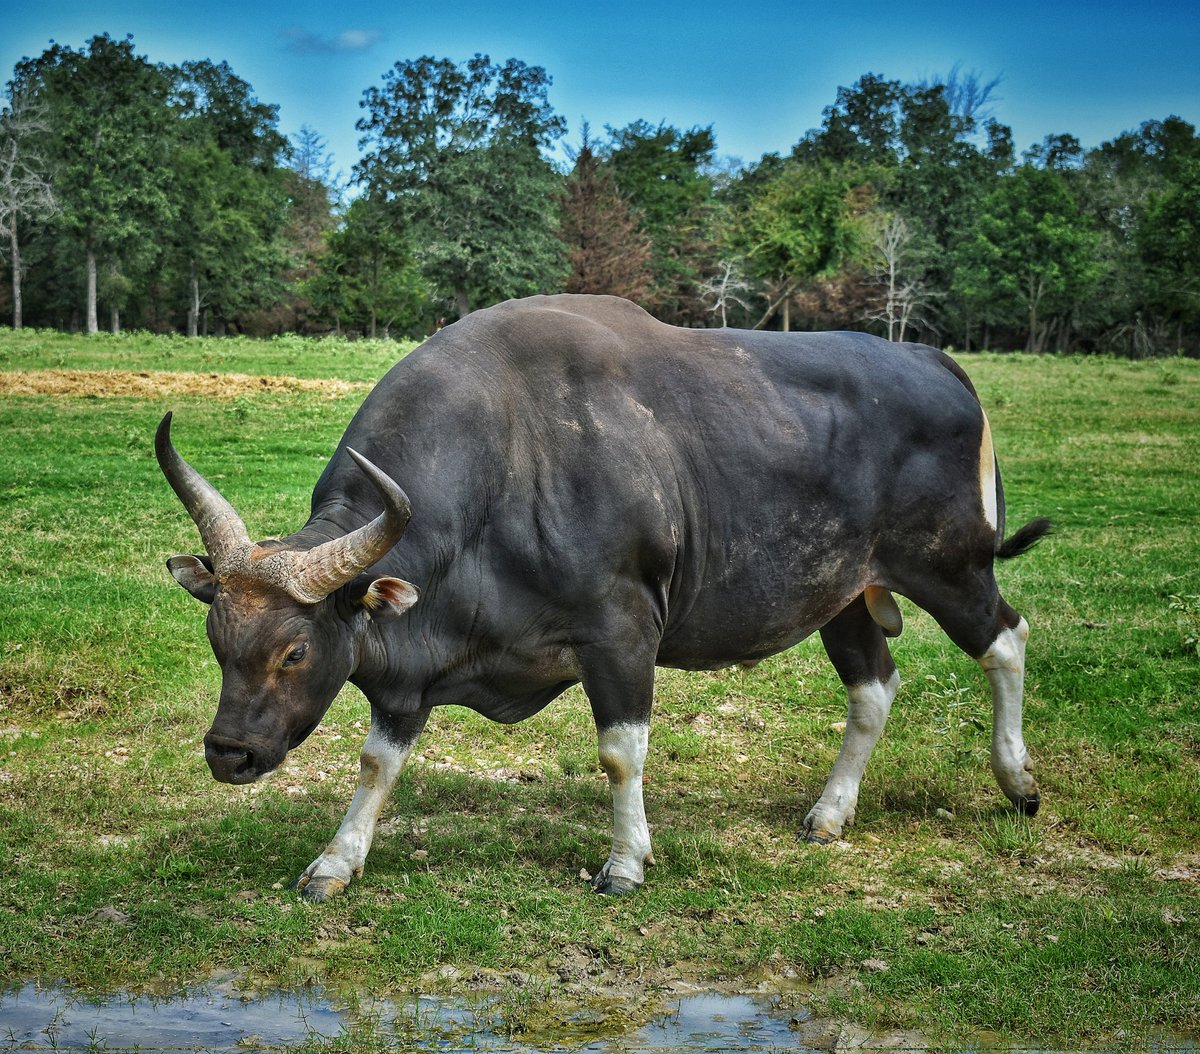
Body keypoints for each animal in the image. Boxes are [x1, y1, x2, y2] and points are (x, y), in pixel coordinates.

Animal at [156, 293, 1049, 901]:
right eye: (216, 640)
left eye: (295, 650)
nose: (229, 753)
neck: (508, 462)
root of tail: (938, 364)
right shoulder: (409, 666)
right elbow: (379, 762)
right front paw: (336, 862)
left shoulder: (621, 635)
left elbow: (622, 753)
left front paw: (625, 863)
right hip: (845, 596)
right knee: (874, 688)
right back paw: (831, 813)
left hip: (951, 567)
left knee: (1005, 638)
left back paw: (1018, 781)